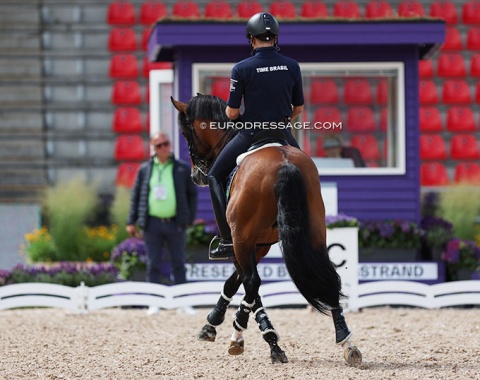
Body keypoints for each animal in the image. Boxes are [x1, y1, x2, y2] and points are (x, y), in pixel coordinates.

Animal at [171, 93, 362, 366]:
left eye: (186, 132)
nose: (196, 176)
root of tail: (284, 163)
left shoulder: (240, 242)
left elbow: (246, 284)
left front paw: (232, 328)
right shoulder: (260, 244)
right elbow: (237, 283)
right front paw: (219, 322)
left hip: (241, 237)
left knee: (253, 281)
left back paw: (243, 334)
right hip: (314, 231)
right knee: (327, 276)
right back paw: (347, 342)